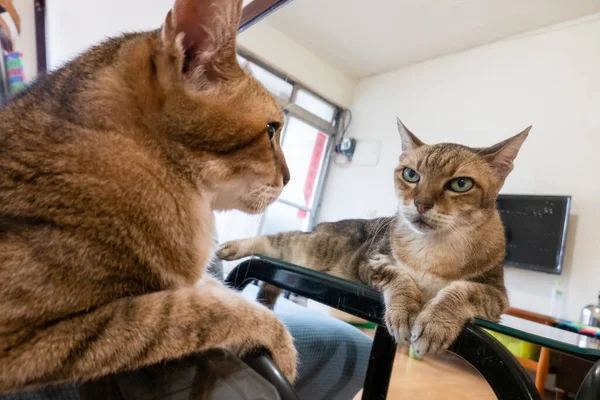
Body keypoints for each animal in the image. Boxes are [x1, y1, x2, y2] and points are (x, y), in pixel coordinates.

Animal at [0, 0, 298, 392]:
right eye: (271, 130)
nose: (290, 178)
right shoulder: (38, 338)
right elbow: (196, 313)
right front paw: (282, 350)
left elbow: (224, 295)